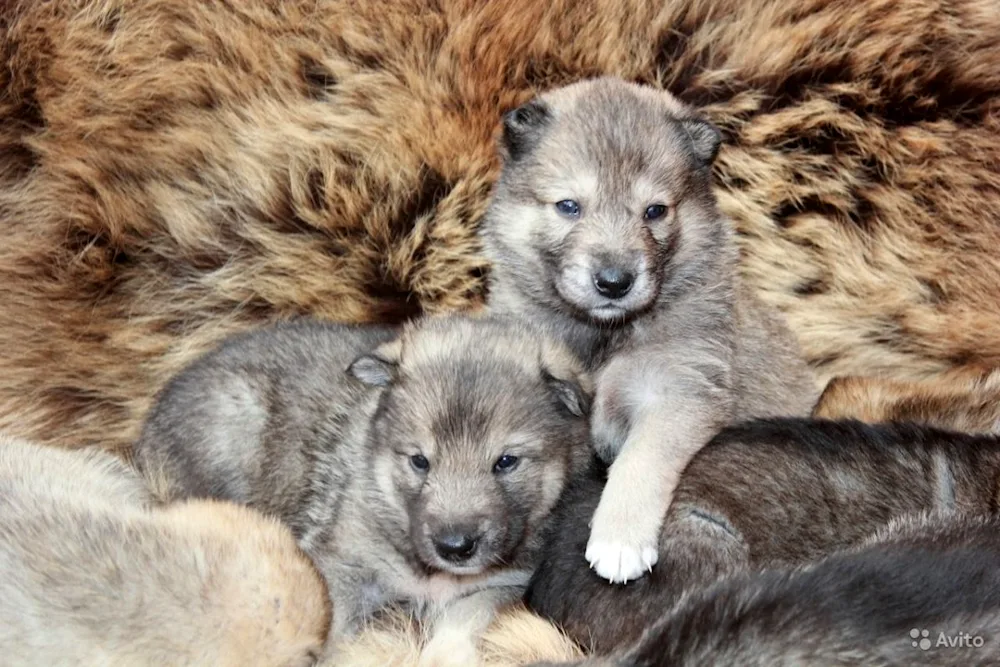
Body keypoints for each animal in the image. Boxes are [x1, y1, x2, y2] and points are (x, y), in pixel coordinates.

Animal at [137, 314, 596, 667]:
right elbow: (332, 625)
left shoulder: (500, 584)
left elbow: (463, 617)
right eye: (419, 461)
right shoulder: (342, 564)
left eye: (505, 462)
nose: (455, 547)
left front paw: (444, 656)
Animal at [478, 74, 820, 584]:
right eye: (568, 206)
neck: (605, 336)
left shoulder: (676, 392)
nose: (614, 282)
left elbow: (641, 461)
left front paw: (618, 541)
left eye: (655, 211)